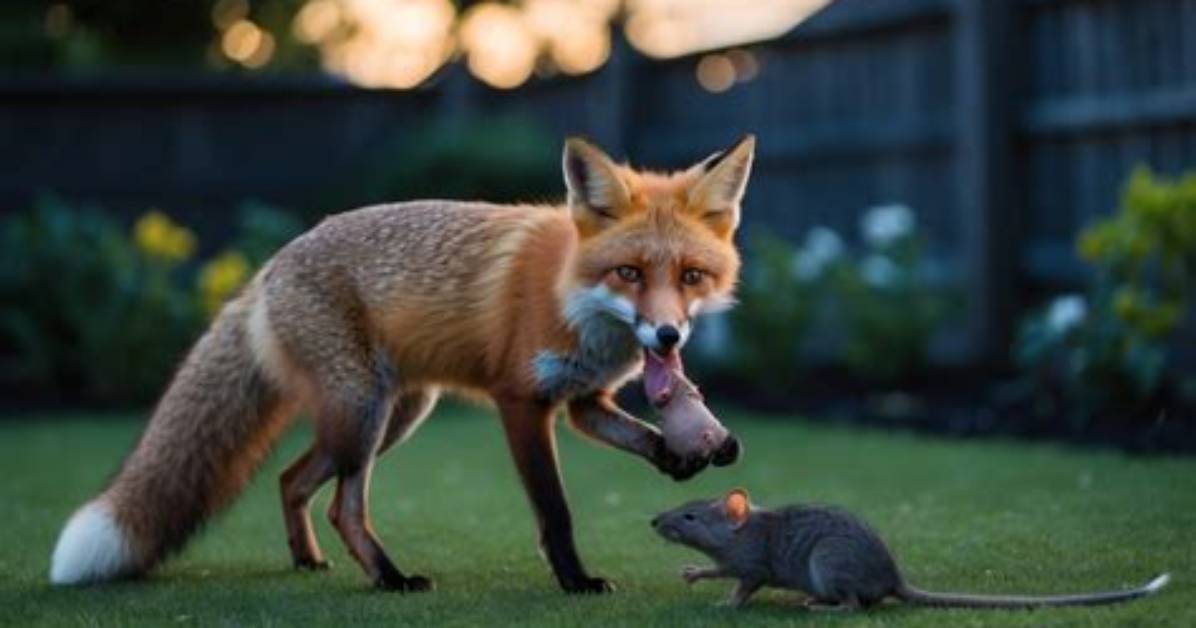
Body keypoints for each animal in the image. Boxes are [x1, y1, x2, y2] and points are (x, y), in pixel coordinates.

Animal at [49, 135, 755, 594]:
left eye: (691, 276)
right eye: (629, 273)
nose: (666, 335)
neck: (572, 296)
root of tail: (270, 264)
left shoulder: (584, 399)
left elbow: (640, 435)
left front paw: (680, 454)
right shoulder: (522, 401)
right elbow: (555, 509)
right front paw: (575, 579)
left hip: (387, 416)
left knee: (292, 479)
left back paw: (308, 562)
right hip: (364, 411)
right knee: (342, 505)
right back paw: (390, 578)